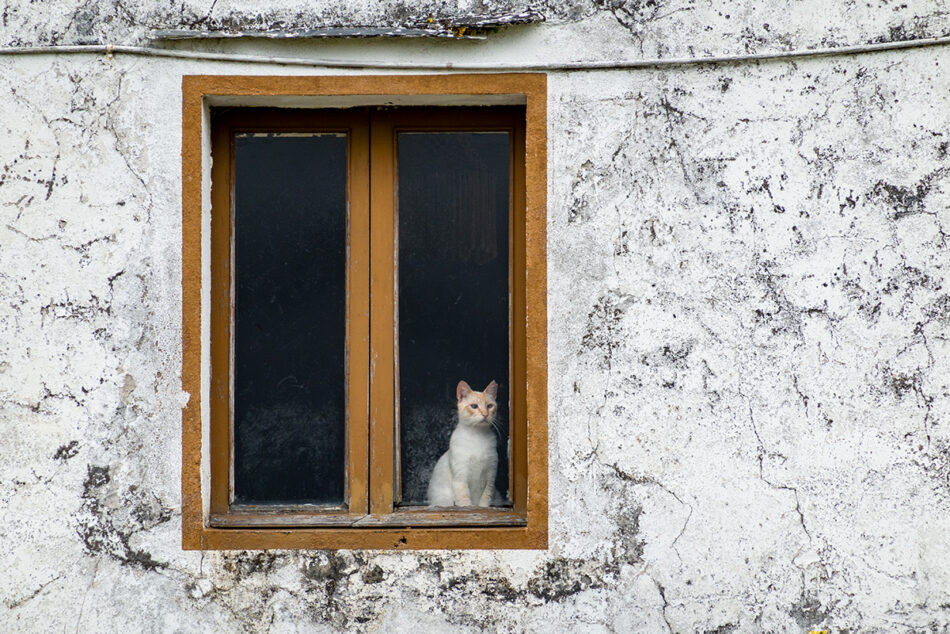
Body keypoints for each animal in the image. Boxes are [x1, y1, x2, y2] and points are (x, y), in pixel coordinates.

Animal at [430, 378, 502, 506]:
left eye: (489, 406)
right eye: (474, 406)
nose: (485, 414)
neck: (478, 436)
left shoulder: (490, 476)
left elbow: (485, 500)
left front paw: (482, 507)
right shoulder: (461, 476)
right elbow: (465, 500)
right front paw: (469, 507)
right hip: (444, 499)